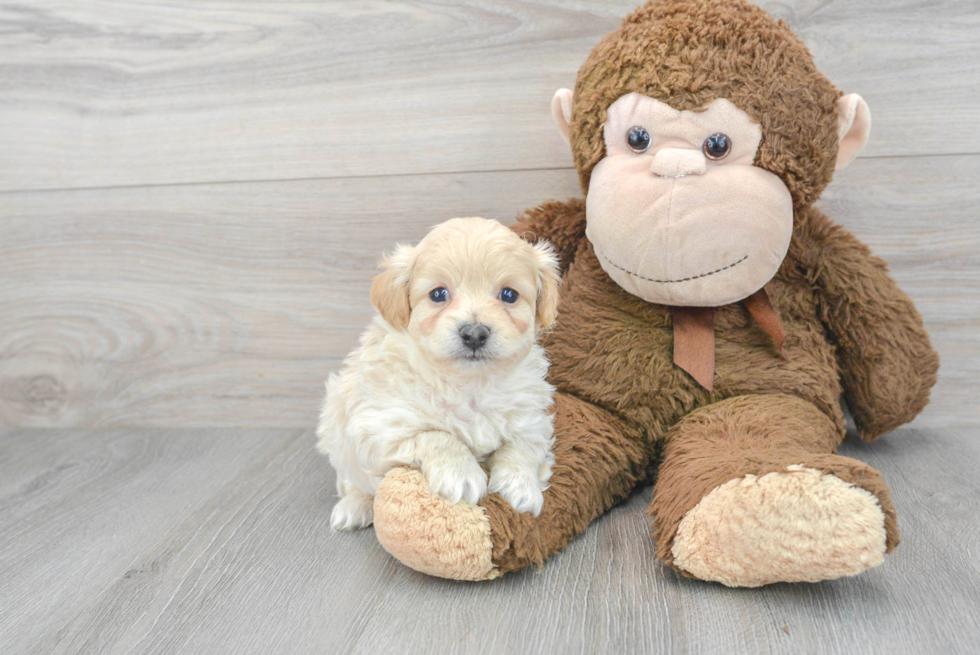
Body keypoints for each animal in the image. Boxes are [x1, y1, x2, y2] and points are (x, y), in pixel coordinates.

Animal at [320, 218, 560, 532]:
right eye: (438, 294)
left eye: (509, 295)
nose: (474, 334)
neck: (468, 383)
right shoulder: (381, 425)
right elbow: (436, 435)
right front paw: (460, 474)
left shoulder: (531, 418)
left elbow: (524, 446)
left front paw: (521, 486)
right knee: (353, 482)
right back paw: (353, 507)